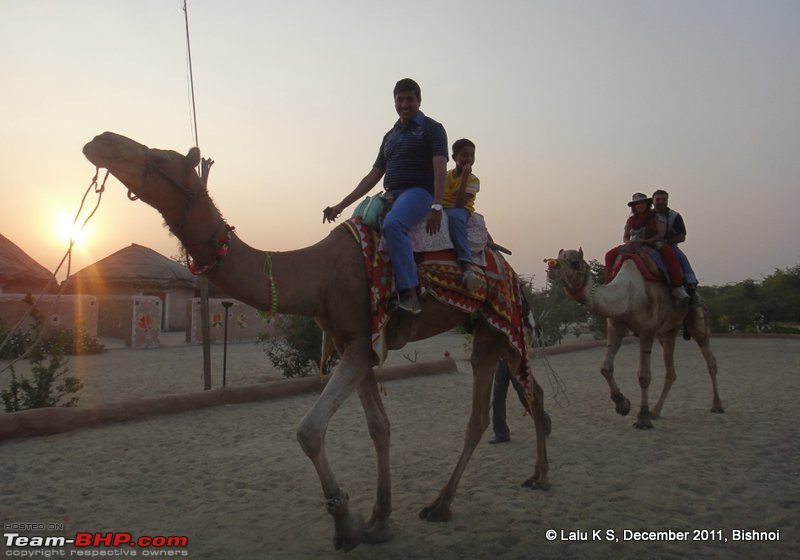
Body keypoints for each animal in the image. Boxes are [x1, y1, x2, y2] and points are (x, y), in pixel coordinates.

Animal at [84, 131, 552, 552]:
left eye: (159, 156)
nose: (99, 141)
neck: (319, 275)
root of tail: (505, 267)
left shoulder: (362, 343)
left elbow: (309, 430)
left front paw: (346, 524)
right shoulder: (353, 343)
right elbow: (379, 427)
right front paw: (379, 522)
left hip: (496, 324)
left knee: (493, 409)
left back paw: (461, 500)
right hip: (489, 331)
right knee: (521, 396)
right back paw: (521, 481)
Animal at [544, 248, 724, 428]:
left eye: (575, 262)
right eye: (559, 257)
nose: (552, 266)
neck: (628, 294)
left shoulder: (647, 329)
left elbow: (644, 376)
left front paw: (642, 418)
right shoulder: (615, 325)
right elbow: (605, 367)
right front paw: (623, 405)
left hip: (697, 315)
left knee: (710, 358)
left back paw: (717, 406)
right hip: (666, 332)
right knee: (671, 370)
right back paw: (656, 412)